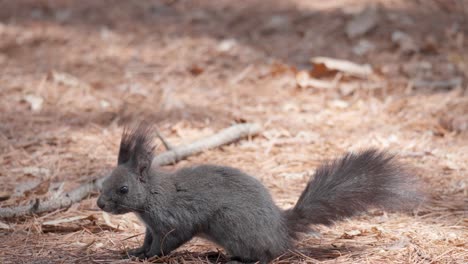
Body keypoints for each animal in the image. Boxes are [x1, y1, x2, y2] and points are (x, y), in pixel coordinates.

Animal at [97, 123, 422, 262]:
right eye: (103, 182)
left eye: (123, 189)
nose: (100, 204)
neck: (152, 194)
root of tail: (280, 229)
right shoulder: (151, 226)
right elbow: (147, 239)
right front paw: (136, 251)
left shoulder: (174, 220)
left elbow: (168, 241)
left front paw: (148, 257)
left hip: (230, 223)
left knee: (262, 257)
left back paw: (232, 259)